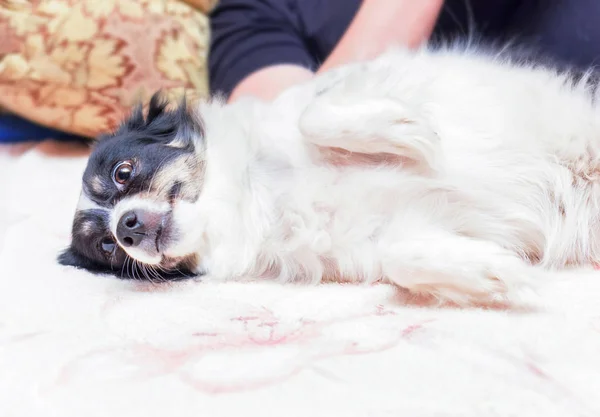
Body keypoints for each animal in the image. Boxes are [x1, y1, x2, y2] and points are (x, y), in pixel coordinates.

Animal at [58, 43, 600, 306]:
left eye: (124, 172)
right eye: (107, 248)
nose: (125, 227)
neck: (254, 196)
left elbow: (312, 113)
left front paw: (410, 129)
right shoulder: (397, 233)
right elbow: (400, 258)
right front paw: (491, 274)